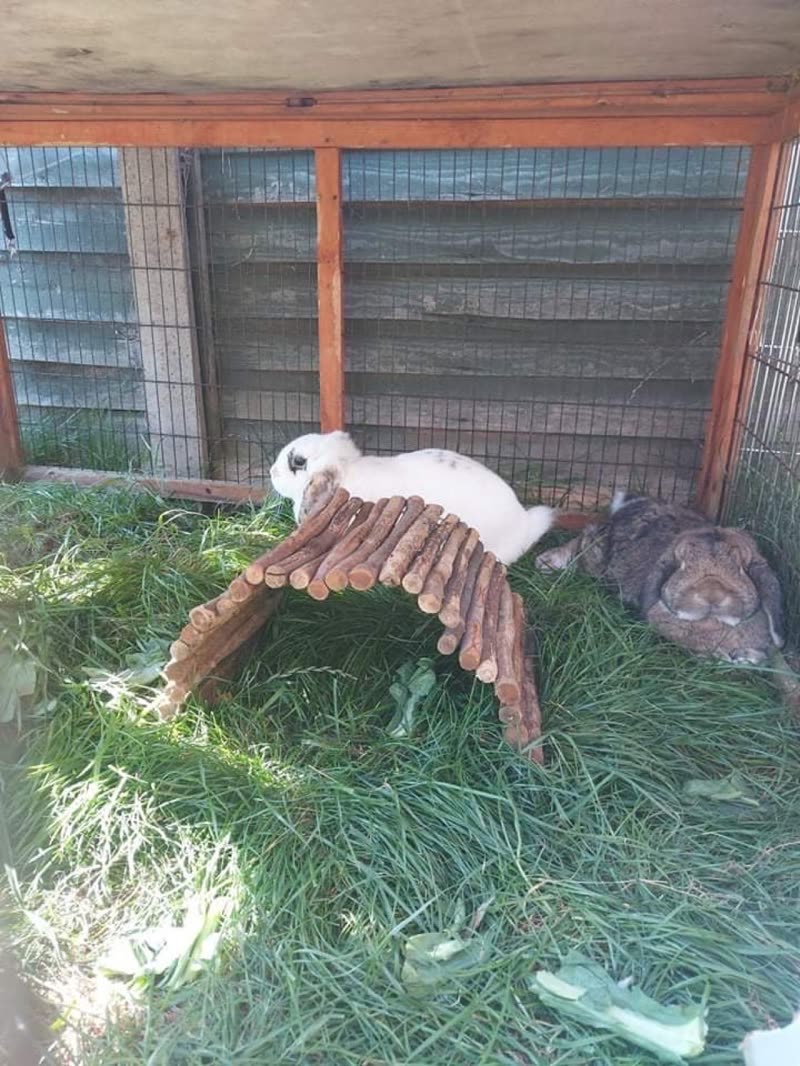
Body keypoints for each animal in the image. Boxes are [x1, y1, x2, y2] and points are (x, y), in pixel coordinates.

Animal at [535, 492, 785, 664]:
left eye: (741, 567)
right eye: (681, 564)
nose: (712, 594)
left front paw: (744, 657)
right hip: (596, 553)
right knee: (581, 542)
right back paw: (547, 562)